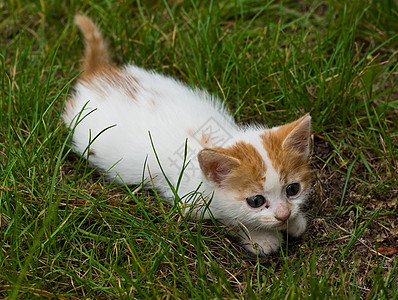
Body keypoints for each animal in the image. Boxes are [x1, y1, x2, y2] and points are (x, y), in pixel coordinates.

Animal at [63, 15, 310, 256]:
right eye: (256, 201)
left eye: (293, 189)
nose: (283, 214)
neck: (215, 139)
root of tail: (96, 75)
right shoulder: (191, 201)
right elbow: (229, 219)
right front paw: (261, 238)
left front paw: (293, 222)